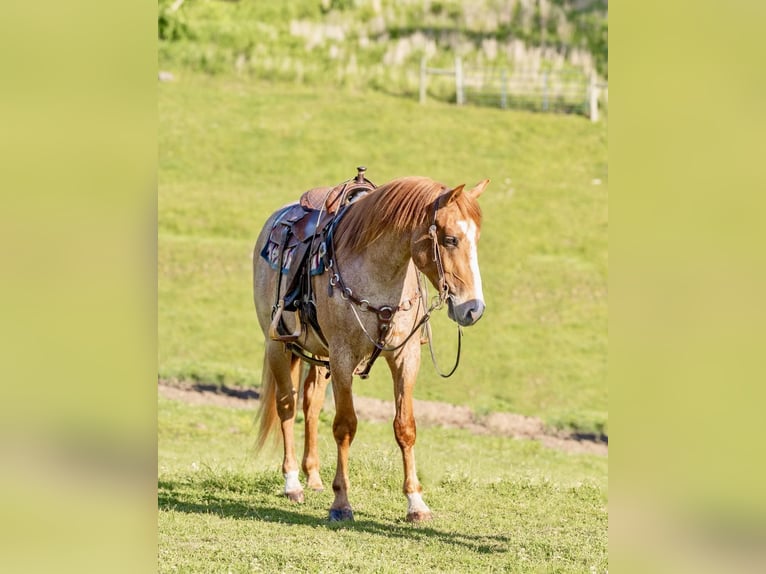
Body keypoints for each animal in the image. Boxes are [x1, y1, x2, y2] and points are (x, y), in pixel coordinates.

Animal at [252, 174, 488, 522]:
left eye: (475, 240)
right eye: (450, 239)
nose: (473, 309)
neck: (378, 273)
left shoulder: (405, 356)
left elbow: (405, 427)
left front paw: (416, 503)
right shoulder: (342, 358)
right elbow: (345, 426)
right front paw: (341, 503)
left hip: (319, 356)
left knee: (311, 405)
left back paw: (313, 477)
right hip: (277, 346)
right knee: (286, 405)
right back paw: (293, 483)